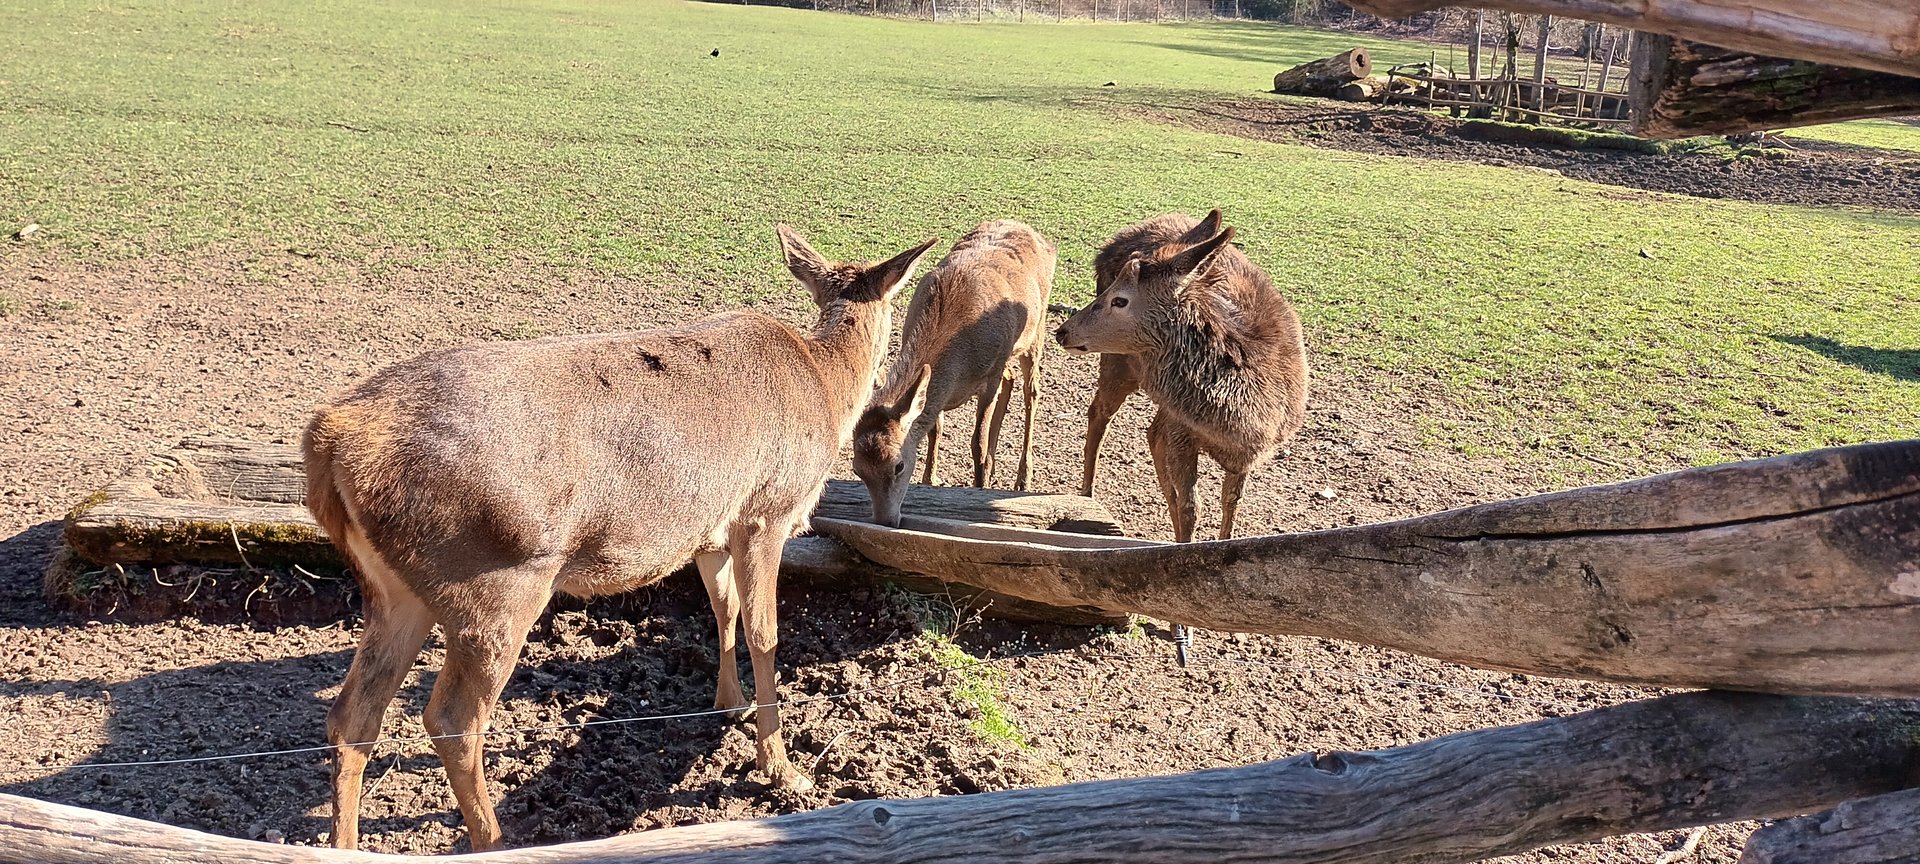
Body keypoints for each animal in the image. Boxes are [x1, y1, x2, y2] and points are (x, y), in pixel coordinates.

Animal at [302, 225, 938, 852]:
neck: (826, 389)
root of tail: (328, 442)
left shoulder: (711, 528)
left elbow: (724, 607)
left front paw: (726, 703)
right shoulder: (767, 510)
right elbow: (765, 632)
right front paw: (781, 767)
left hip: (394, 587)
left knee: (352, 715)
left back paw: (345, 843)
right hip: (496, 580)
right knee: (452, 720)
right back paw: (495, 839)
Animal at [851, 219, 1054, 527]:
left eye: (898, 465)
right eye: (857, 470)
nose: (885, 521)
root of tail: (1038, 236)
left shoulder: (990, 374)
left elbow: (977, 443)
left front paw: (979, 485)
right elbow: (935, 428)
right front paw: (930, 479)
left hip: (1036, 331)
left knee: (1031, 391)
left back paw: (1022, 477)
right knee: (1011, 379)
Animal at [1056, 210, 1308, 663]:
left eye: (1122, 300)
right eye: (1113, 291)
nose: (1063, 330)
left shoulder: (1247, 455)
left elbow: (1230, 505)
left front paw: (1232, 623)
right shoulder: (1182, 431)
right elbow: (1192, 509)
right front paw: (1180, 630)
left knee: (1147, 431)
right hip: (1120, 360)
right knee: (1100, 415)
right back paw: (1086, 495)